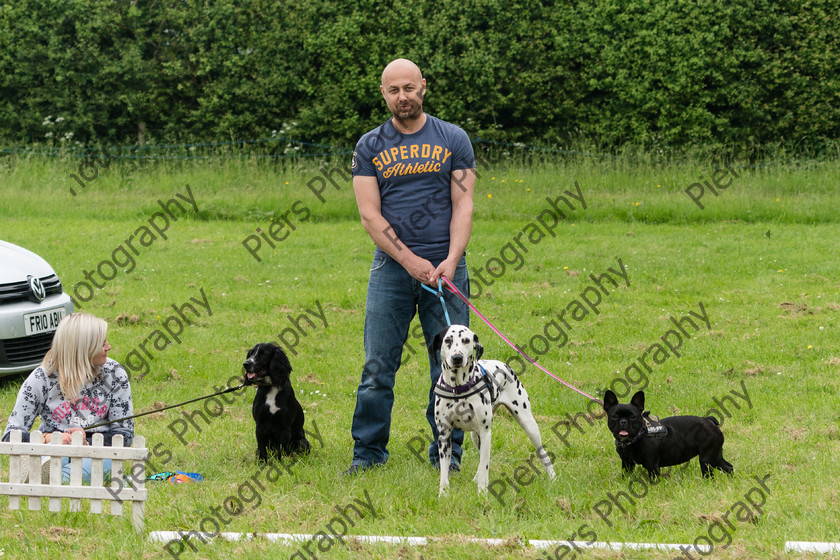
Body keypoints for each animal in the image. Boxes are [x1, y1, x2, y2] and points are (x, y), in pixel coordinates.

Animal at [430, 326, 556, 496]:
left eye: (466, 340)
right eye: (448, 340)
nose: (457, 357)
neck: (459, 388)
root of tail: (504, 365)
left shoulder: (485, 433)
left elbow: (485, 467)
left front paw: (482, 494)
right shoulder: (444, 435)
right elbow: (445, 471)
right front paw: (443, 494)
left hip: (528, 424)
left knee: (542, 453)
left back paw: (552, 477)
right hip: (475, 436)